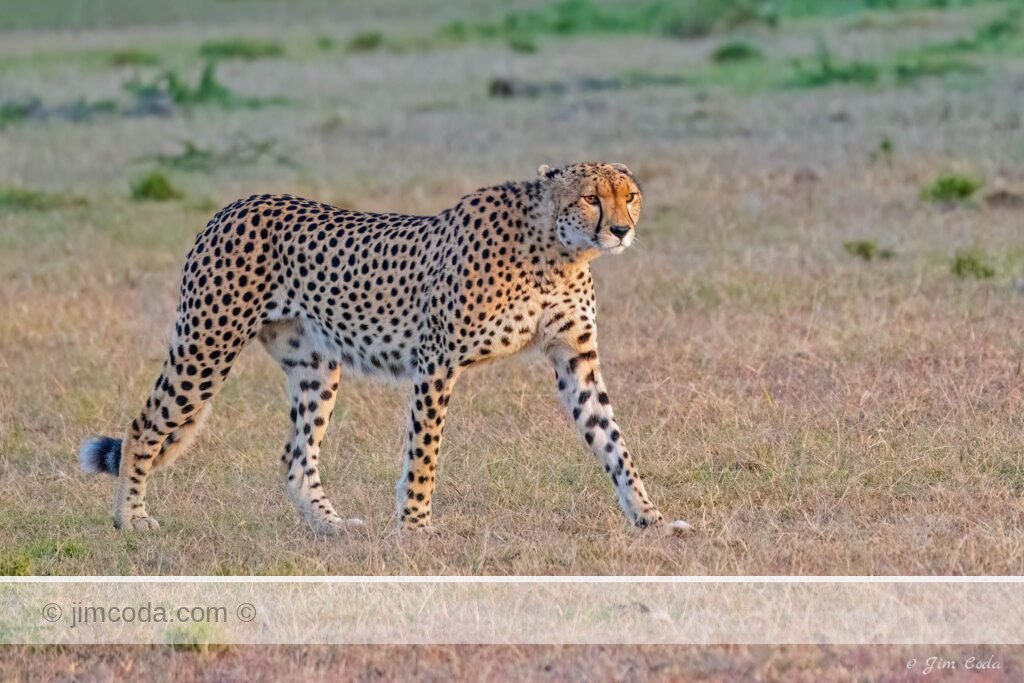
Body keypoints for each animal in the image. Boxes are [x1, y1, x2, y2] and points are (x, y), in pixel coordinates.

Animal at [79, 162, 691, 536]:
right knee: (145, 425)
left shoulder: (575, 360)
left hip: (315, 364)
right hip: (207, 344)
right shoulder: (437, 361)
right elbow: (425, 451)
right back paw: (131, 519)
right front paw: (415, 527)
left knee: (296, 455)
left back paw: (330, 526)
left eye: (630, 196)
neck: (557, 251)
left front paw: (652, 518)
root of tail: (235, 204)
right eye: (590, 198)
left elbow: (613, 443)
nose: (621, 230)